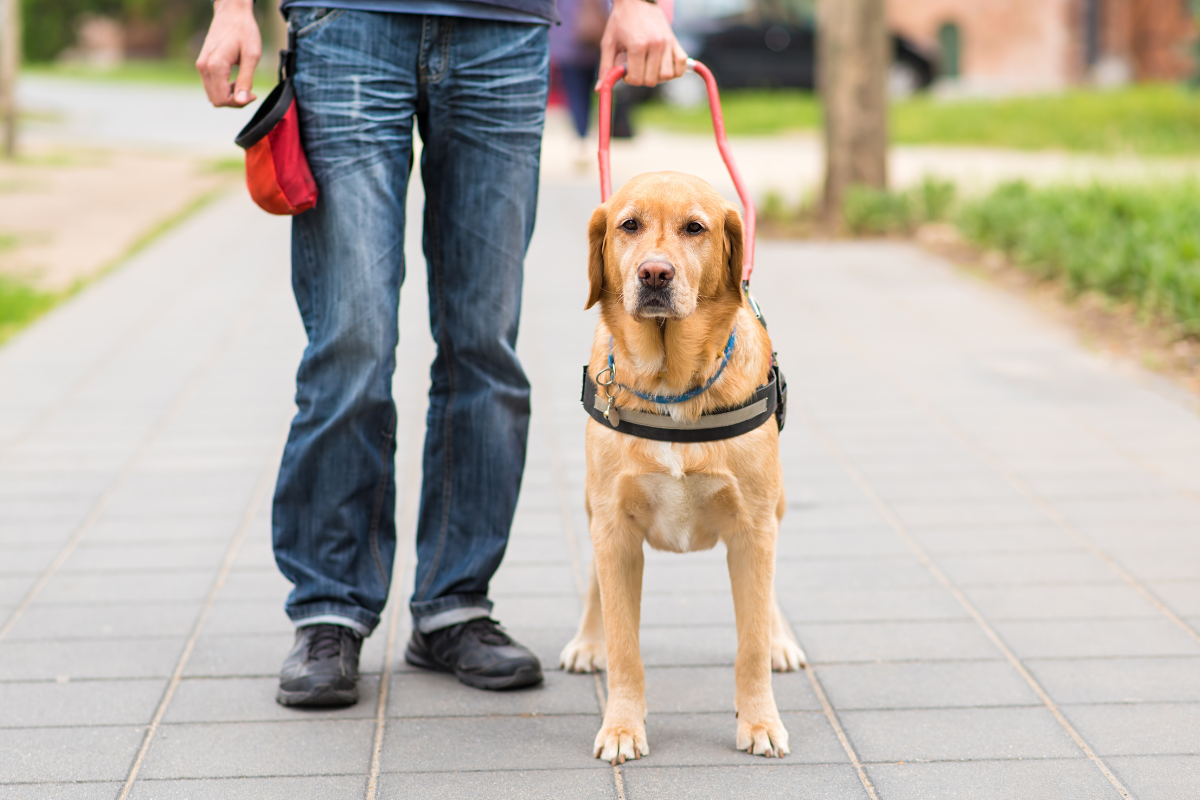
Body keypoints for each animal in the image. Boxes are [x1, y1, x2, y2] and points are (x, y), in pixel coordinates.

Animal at [559, 170, 806, 762]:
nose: (654, 272)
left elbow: (750, 644)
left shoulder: (753, 529)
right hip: (593, 507)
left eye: (695, 228)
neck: (671, 383)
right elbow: (625, 649)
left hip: (775, 507)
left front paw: (760, 720)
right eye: (629, 225)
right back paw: (588, 640)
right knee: (596, 590)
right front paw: (622, 726)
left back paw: (781, 639)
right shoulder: (615, 531)